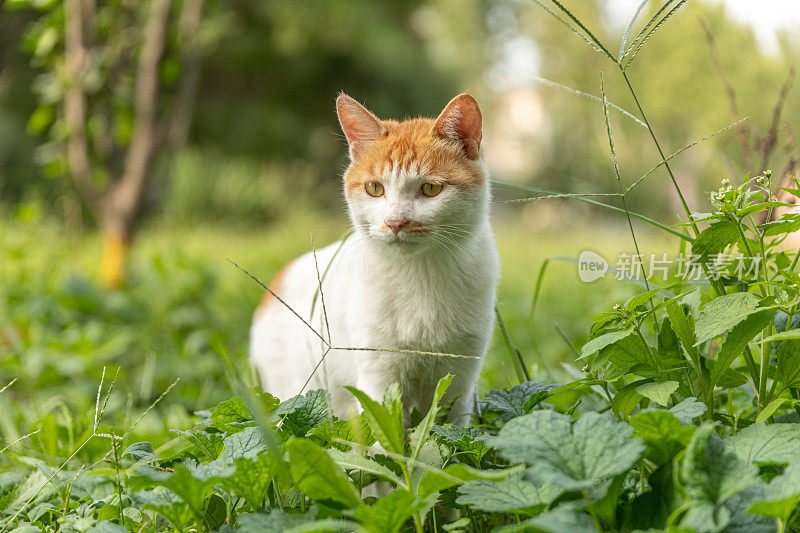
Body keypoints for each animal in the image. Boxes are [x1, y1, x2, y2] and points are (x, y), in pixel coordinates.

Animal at [250, 92, 500, 424]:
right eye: (374, 188)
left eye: (431, 188)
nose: (395, 222)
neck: (420, 273)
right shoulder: (378, 372)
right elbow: (382, 429)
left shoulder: (460, 376)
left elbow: (449, 426)